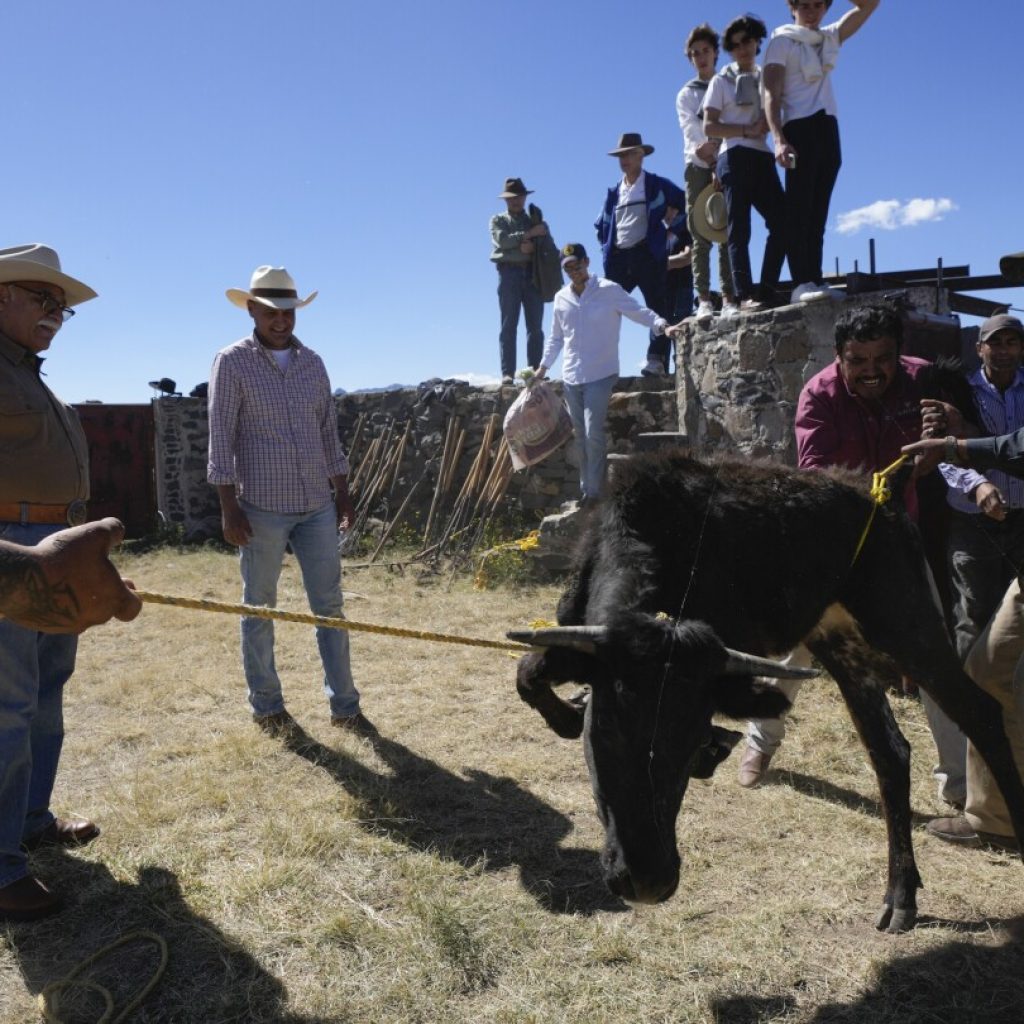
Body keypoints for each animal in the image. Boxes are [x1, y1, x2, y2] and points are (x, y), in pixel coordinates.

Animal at [516, 452, 1024, 933]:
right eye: (604, 730)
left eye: (689, 737)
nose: (646, 881)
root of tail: (883, 487)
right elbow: (528, 675)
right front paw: (568, 715)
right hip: (838, 640)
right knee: (890, 751)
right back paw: (900, 895)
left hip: (906, 623)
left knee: (980, 713)